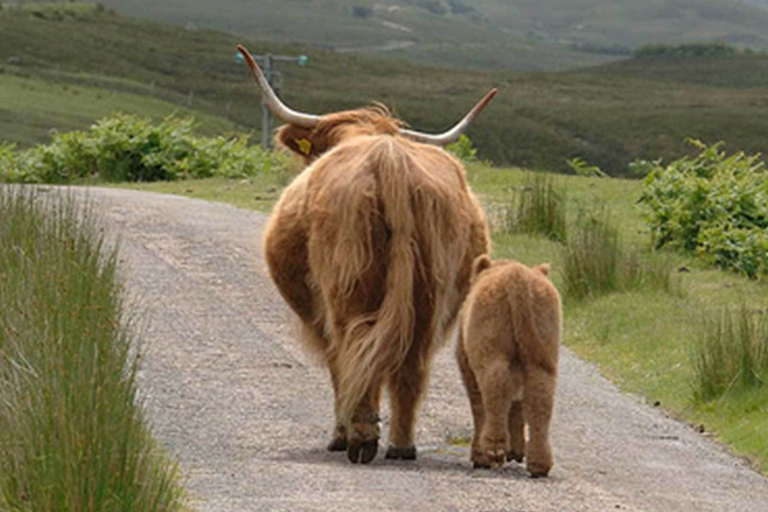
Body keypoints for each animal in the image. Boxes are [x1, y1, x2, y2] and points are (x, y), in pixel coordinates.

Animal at [237, 46, 496, 464]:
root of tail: (389, 158)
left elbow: (337, 364)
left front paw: (340, 436)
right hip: (430, 290)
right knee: (410, 362)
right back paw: (402, 445)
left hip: (348, 284)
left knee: (355, 346)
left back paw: (358, 438)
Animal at [456, 258, 560, 478]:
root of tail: (515, 273)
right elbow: (518, 406)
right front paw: (517, 451)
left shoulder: (467, 367)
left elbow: (479, 406)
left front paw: (480, 456)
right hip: (543, 352)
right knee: (540, 396)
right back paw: (539, 464)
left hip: (491, 351)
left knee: (495, 389)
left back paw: (493, 450)